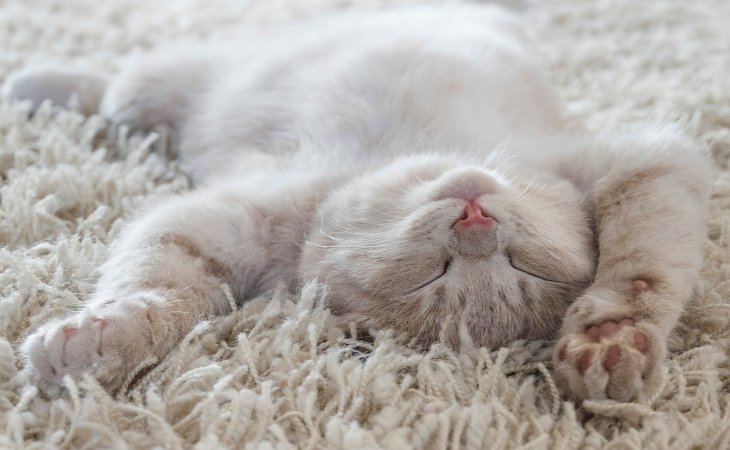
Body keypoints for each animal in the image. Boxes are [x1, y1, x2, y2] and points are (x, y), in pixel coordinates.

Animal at [5, 3, 708, 402]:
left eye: (522, 265)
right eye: (434, 271)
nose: (475, 221)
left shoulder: (648, 163)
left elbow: (644, 270)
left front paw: (614, 339)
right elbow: (156, 284)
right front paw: (107, 335)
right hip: (169, 80)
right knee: (113, 87)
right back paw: (33, 84)